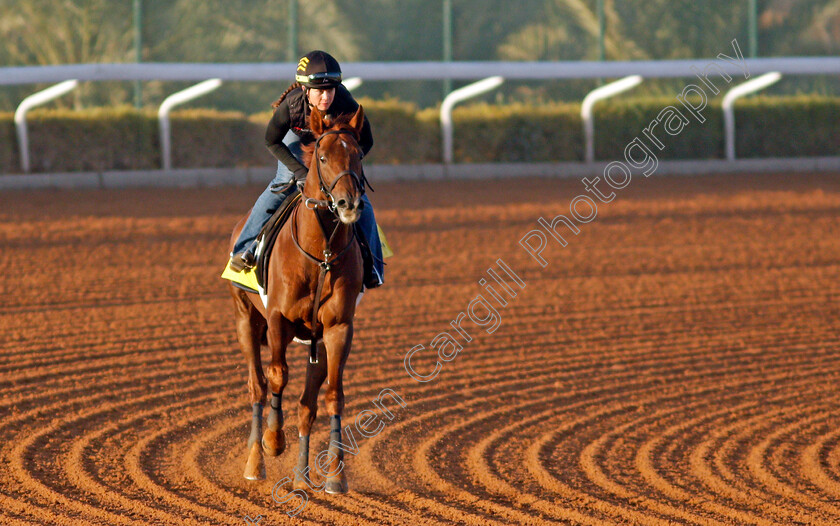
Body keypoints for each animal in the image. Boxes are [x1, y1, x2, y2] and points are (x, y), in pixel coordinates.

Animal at [228, 104, 366, 496]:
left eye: (358, 155)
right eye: (322, 156)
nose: (348, 203)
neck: (320, 255)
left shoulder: (337, 328)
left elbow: (333, 395)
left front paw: (336, 475)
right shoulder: (277, 318)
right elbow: (277, 376)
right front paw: (274, 440)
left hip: (312, 341)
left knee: (306, 404)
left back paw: (303, 476)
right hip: (246, 320)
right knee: (257, 386)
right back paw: (255, 461)